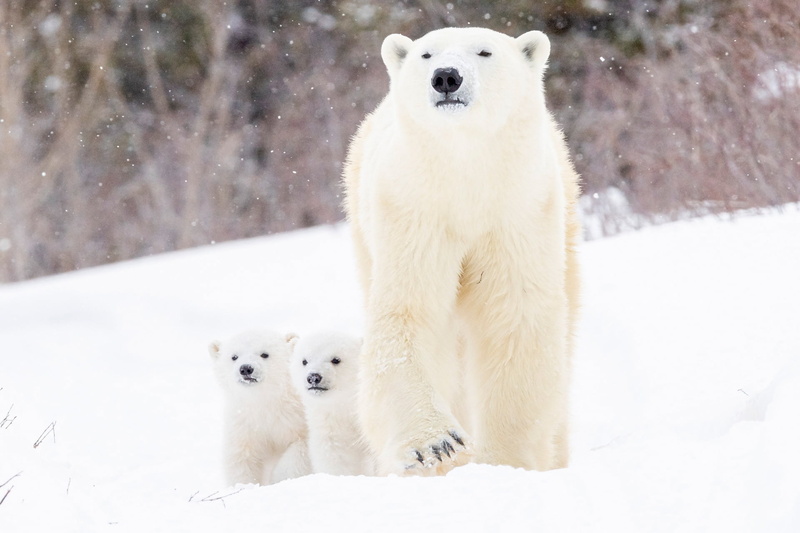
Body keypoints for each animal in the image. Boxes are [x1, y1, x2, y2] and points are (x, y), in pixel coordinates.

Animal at [209, 330, 311, 485]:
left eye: (264, 354)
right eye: (234, 357)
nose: (246, 368)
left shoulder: (298, 417)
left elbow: (302, 448)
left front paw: (280, 478)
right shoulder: (244, 423)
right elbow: (242, 457)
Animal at [342, 27, 581, 476]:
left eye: (484, 51)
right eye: (426, 54)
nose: (446, 77)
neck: (465, 169)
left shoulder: (517, 211)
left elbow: (515, 317)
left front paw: (505, 459)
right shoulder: (413, 211)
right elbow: (407, 313)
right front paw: (437, 445)